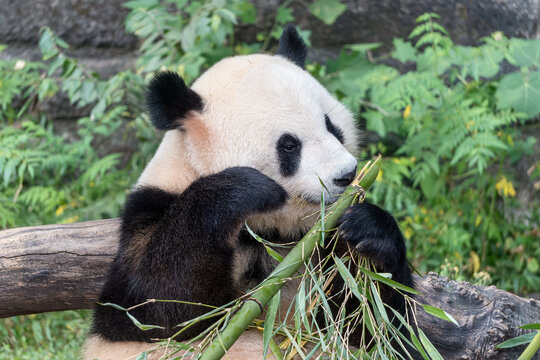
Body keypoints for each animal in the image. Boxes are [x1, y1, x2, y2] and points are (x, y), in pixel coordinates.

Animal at [84, 26, 414, 360]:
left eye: (332, 126)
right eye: (289, 145)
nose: (346, 174)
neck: (269, 232)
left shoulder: (318, 246)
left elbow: (372, 324)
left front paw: (369, 228)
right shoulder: (152, 209)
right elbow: (154, 306)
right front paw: (244, 188)